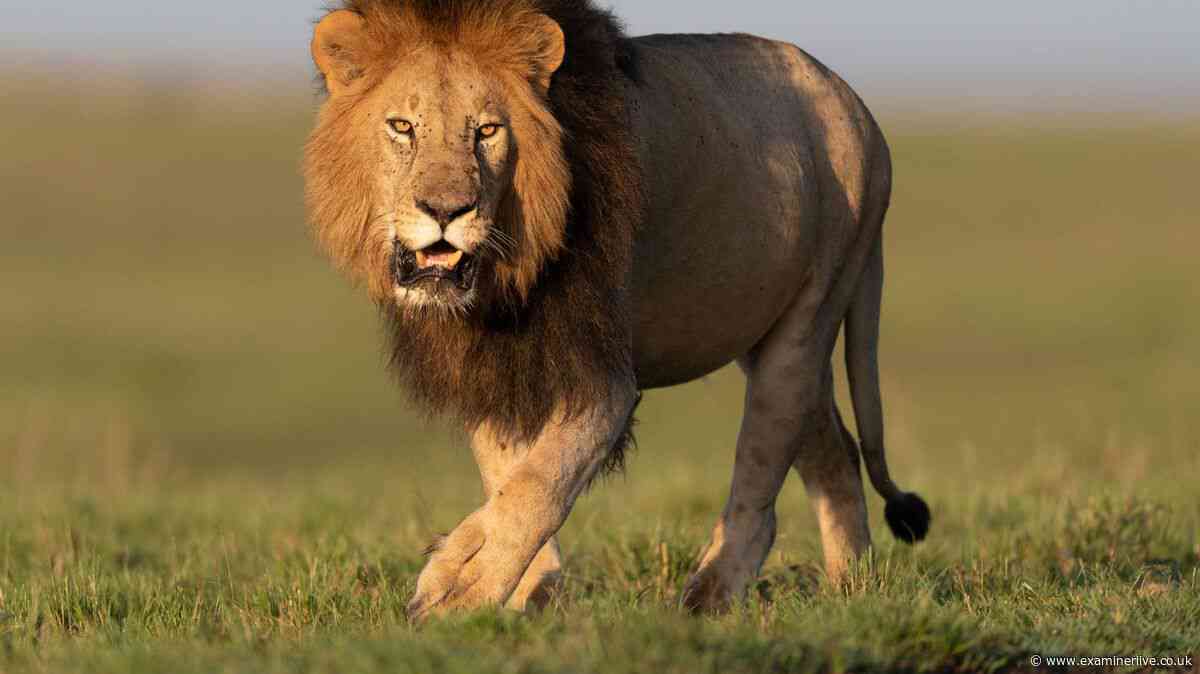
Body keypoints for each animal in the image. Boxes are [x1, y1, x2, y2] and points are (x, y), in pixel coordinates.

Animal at [304, 0, 930, 618]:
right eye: (401, 127)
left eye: (486, 131)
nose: (444, 210)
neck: (503, 279)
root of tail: (858, 104)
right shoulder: (488, 363)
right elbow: (507, 473)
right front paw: (531, 589)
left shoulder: (605, 378)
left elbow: (540, 482)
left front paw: (460, 586)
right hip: (775, 340)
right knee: (836, 453)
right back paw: (852, 590)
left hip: (806, 321)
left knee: (761, 479)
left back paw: (711, 595)